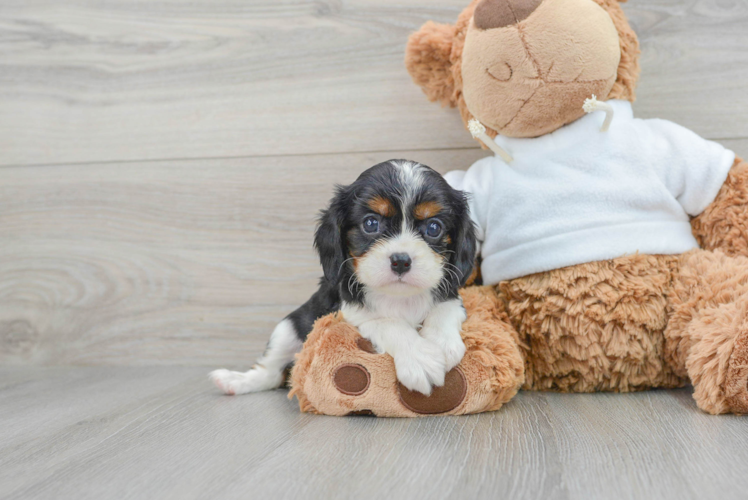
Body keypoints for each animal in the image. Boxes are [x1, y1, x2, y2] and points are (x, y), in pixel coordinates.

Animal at [209, 159, 480, 394]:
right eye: (371, 223)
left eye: (433, 227)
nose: (401, 261)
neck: (399, 296)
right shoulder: (350, 311)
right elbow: (388, 323)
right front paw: (419, 358)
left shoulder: (452, 296)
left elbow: (444, 310)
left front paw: (442, 344)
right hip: (287, 328)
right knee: (270, 372)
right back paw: (234, 381)